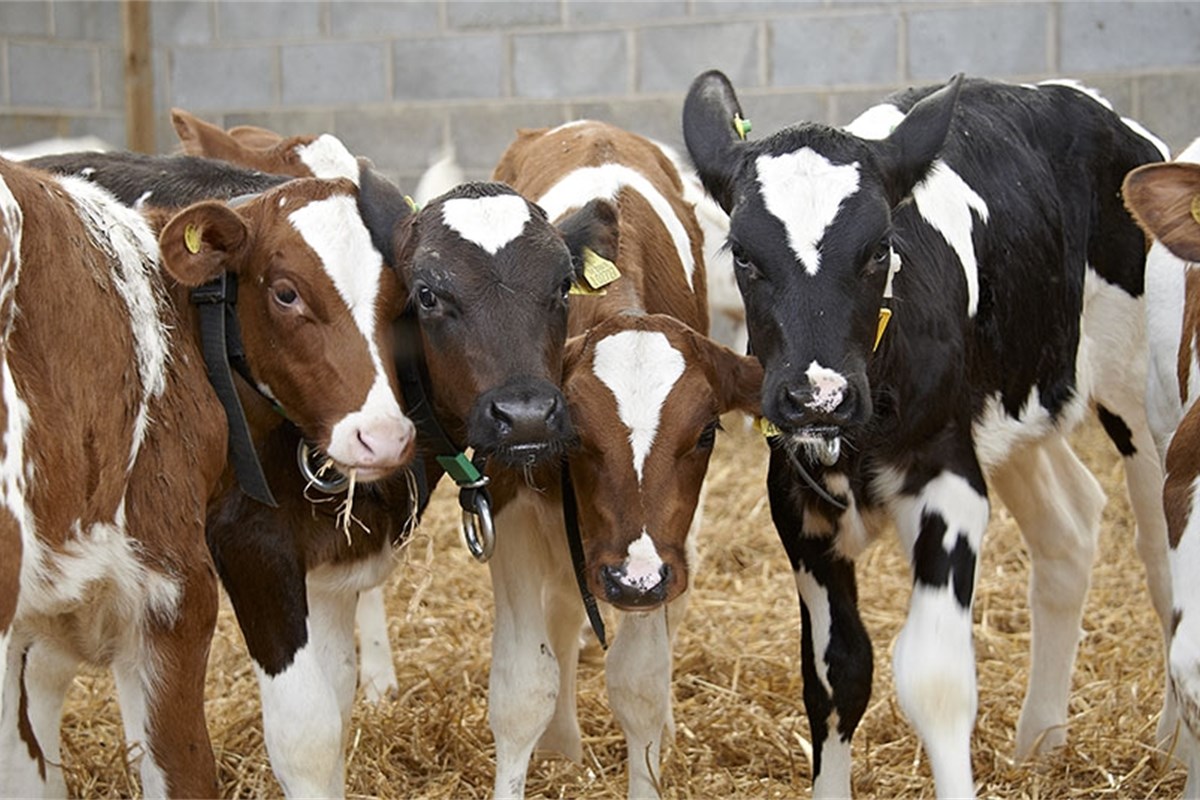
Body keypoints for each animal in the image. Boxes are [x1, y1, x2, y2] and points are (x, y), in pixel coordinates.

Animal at [486, 119, 763, 798]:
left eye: (707, 433)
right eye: (574, 436)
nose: (634, 579)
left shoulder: (658, 549)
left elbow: (639, 684)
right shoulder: (513, 509)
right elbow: (522, 691)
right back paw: (563, 742)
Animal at [682, 70, 1172, 797]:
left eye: (879, 249)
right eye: (742, 253)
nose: (818, 394)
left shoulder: (947, 478)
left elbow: (936, 678)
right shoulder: (796, 503)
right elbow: (836, 674)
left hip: (1141, 392)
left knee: (1163, 558)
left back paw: (1174, 740)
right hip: (1014, 406)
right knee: (1070, 526)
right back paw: (1041, 741)